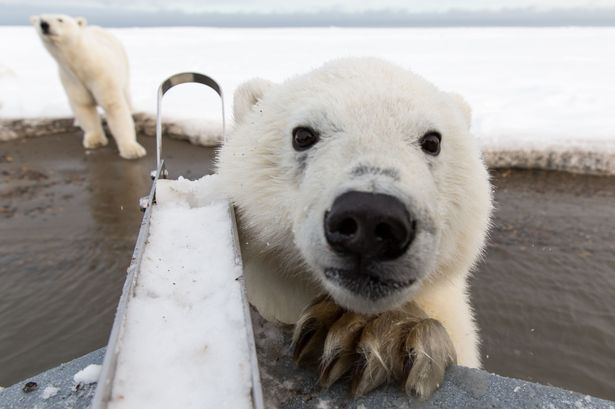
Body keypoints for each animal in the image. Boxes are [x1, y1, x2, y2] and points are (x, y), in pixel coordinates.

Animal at [31, 14, 147, 159]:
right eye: (40, 19)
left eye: (60, 19)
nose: (44, 25)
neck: (79, 62)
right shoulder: (71, 78)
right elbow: (83, 105)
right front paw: (95, 140)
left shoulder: (101, 73)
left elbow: (113, 105)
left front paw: (132, 150)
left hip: (124, 64)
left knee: (125, 92)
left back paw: (132, 109)